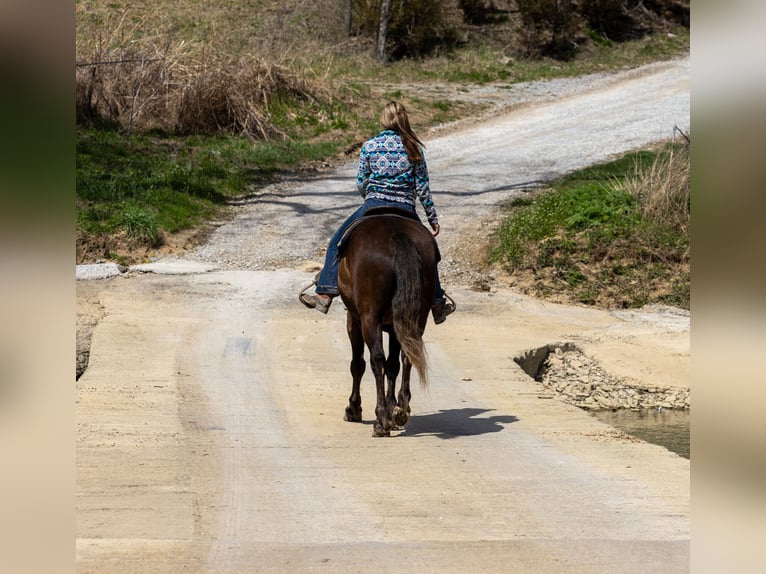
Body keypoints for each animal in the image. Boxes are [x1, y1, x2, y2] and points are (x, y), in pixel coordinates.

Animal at [338, 212, 438, 440]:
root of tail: (398, 235)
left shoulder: (354, 318)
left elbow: (358, 364)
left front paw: (354, 408)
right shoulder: (394, 326)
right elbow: (393, 365)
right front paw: (395, 408)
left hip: (369, 317)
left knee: (376, 360)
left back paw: (381, 420)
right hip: (418, 315)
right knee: (408, 355)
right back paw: (401, 410)